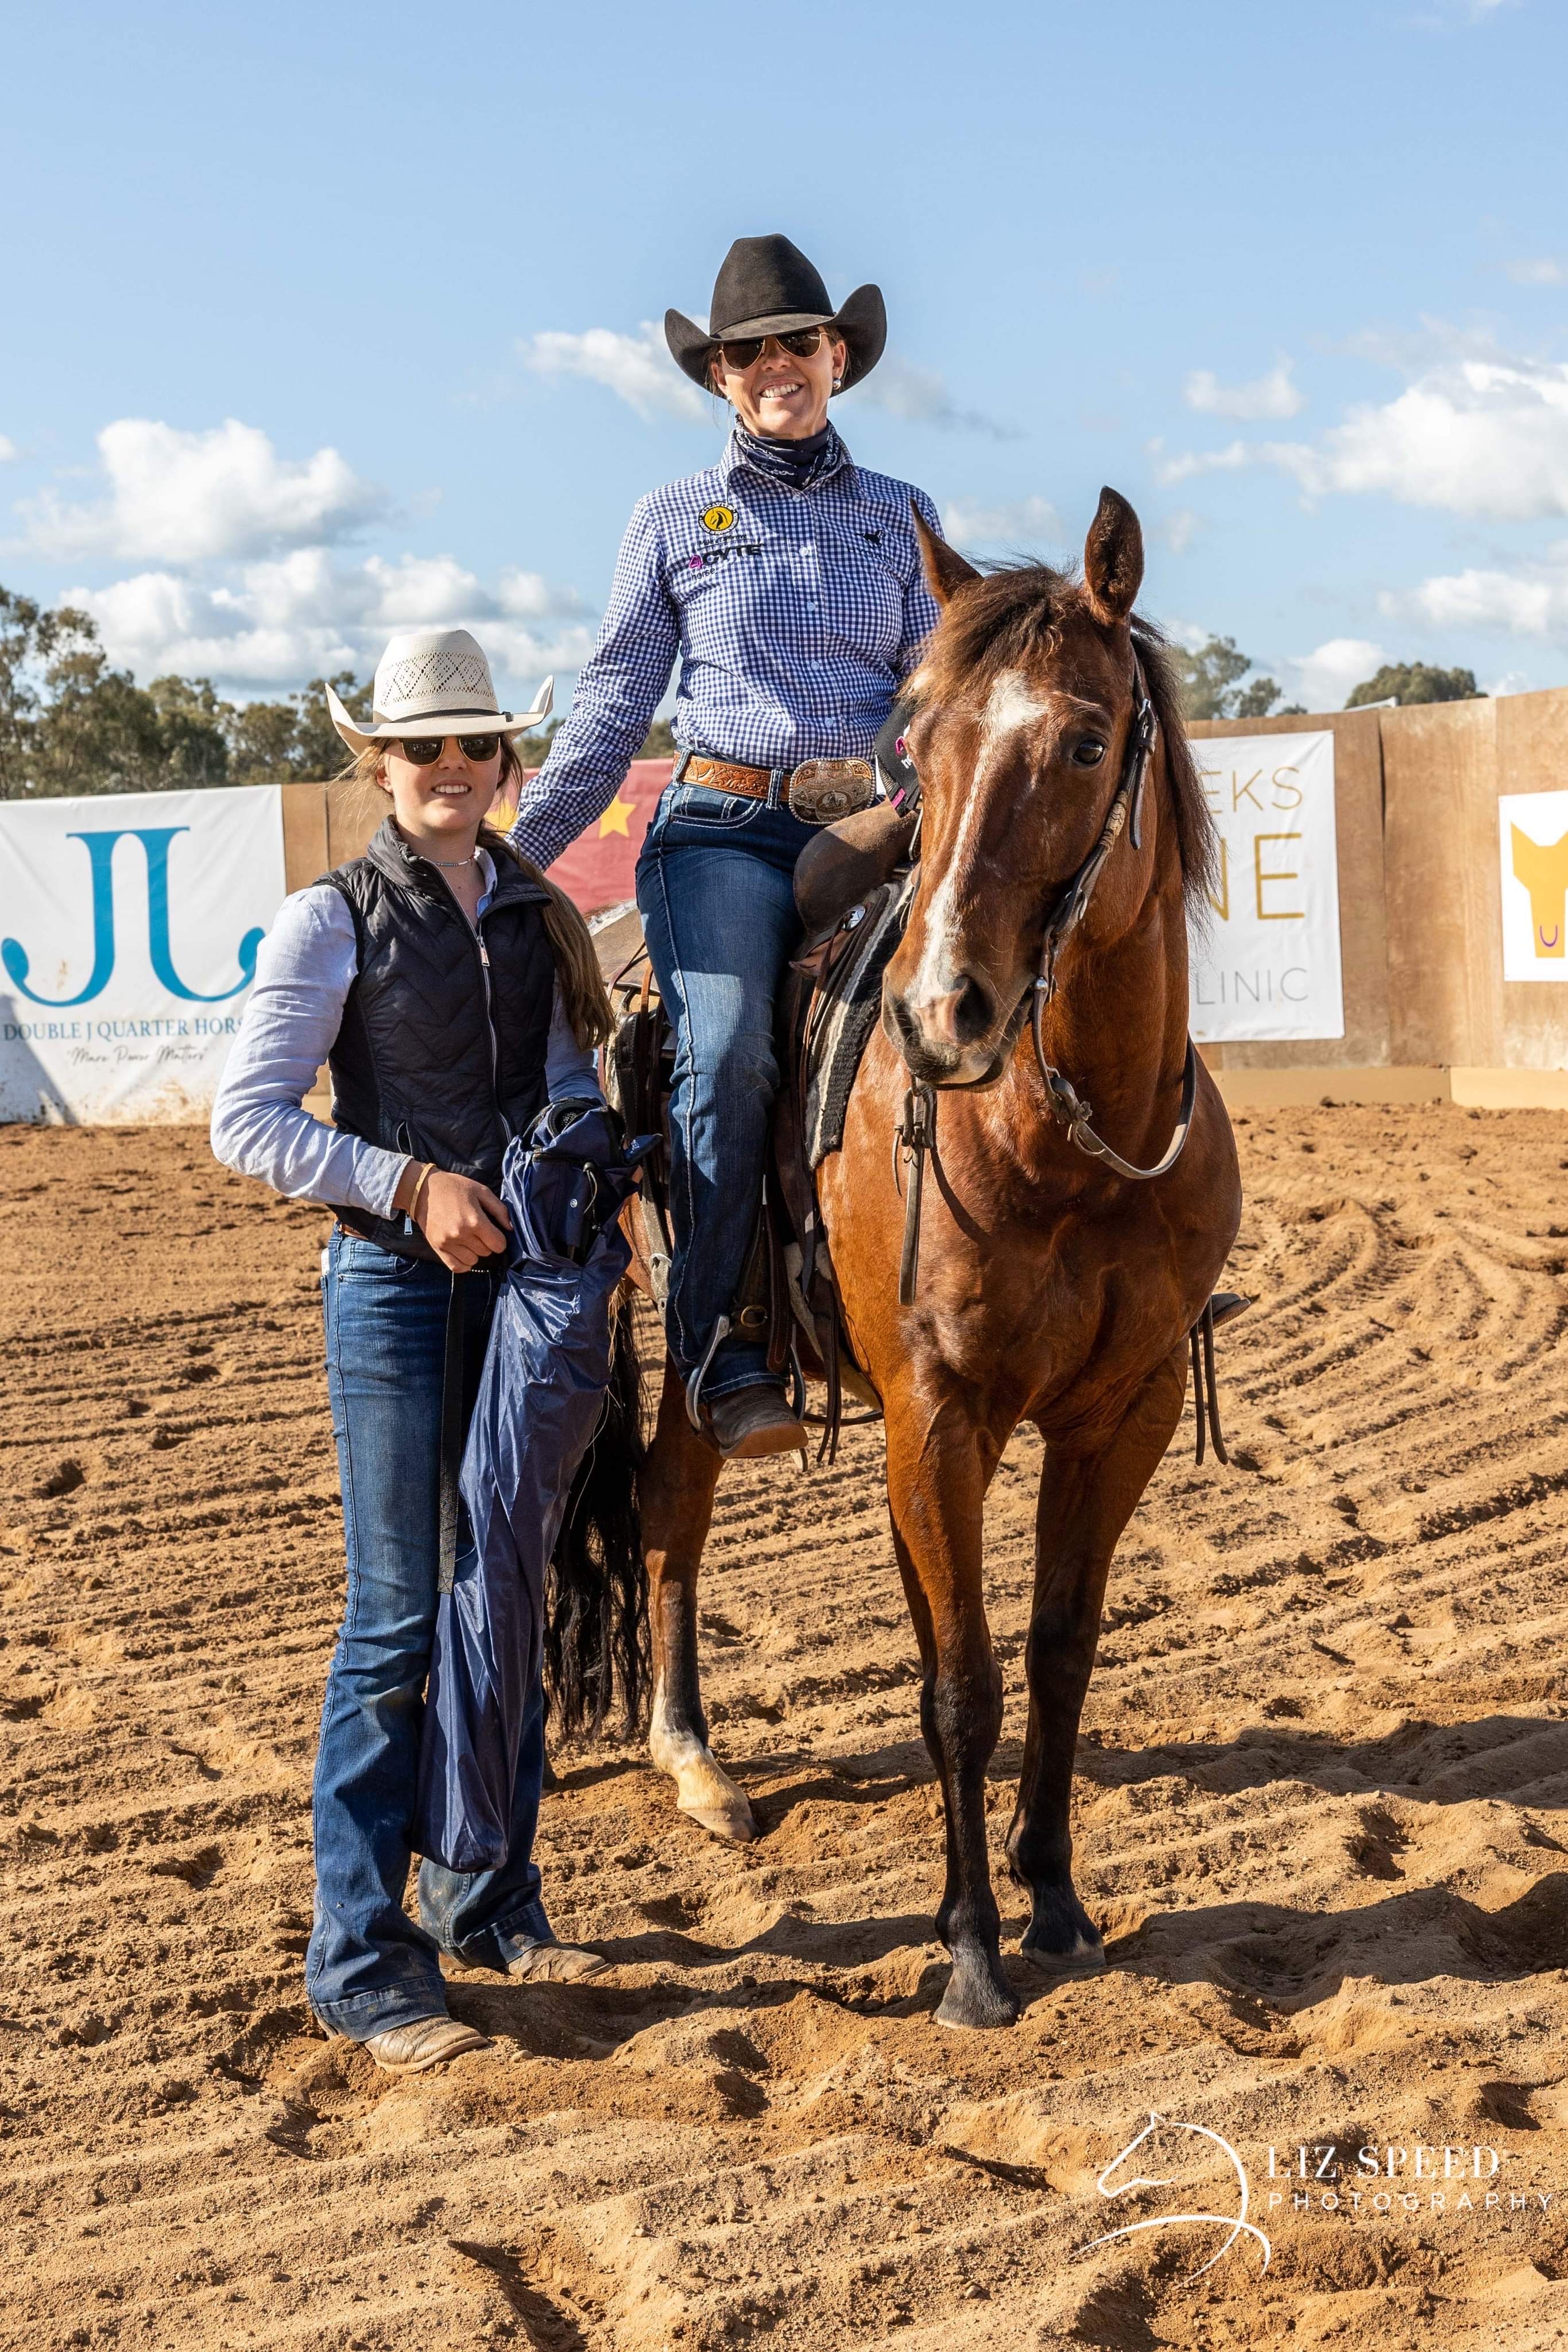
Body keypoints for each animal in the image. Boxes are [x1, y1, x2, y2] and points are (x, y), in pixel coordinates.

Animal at [635, 487, 1241, 2029]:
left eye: (1085, 740)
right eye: (927, 745)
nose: (936, 1012)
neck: (1067, 1143)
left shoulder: (1125, 1411)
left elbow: (1057, 1646)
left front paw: (1055, 1899)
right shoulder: (941, 1411)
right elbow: (965, 1682)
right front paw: (970, 1946)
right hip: (680, 1333)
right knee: (673, 1510)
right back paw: (692, 1762)